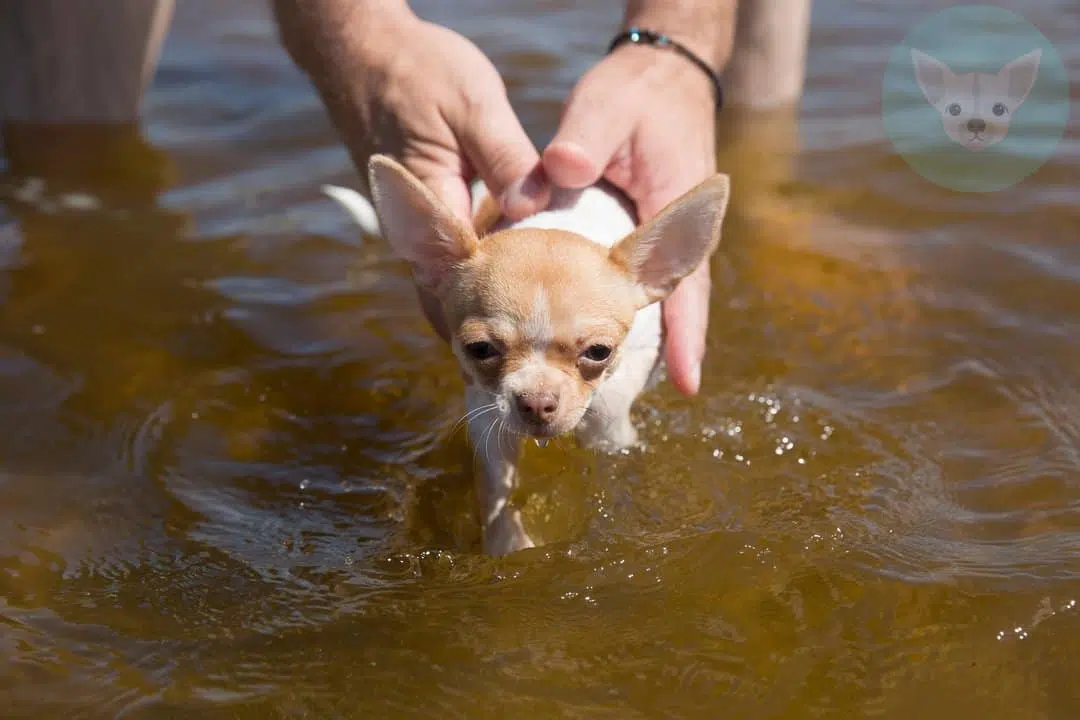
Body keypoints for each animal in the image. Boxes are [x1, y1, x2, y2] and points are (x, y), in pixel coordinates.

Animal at [319, 155, 725, 557]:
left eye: (599, 352)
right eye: (480, 349)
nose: (537, 402)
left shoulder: (616, 403)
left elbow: (608, 428)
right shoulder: (485, 413)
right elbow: (497, 491)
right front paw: (509, 545)